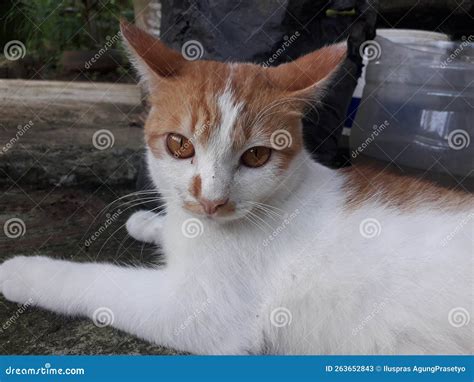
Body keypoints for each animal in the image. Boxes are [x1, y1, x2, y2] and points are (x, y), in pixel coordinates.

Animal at [0, 21, 474, 356]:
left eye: (257, 156)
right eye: (179, 145)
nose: (212, 199)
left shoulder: (203, 315)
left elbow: (97, 283)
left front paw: (24, 271)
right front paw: (150, 223)